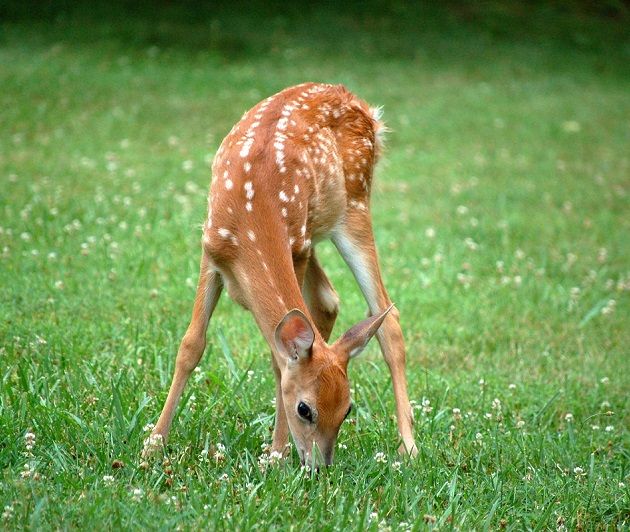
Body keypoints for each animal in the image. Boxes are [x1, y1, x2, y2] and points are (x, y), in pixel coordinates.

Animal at [145, 82, 418, 466]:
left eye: (347, 410)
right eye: (305, 409)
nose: (319, 467)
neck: (252, 219)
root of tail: (360, 104)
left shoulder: (294, 248)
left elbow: (277, 361)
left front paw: (276, 453)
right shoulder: (211, 249)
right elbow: (191, 345)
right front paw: (153, 445)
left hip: (353, 205)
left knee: (387, 319)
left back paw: (409, 446)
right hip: (317, 230)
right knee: (329, 300)